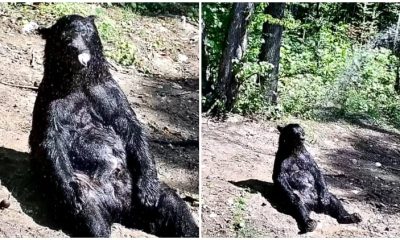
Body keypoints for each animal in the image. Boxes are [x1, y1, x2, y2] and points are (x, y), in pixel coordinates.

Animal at [28, 15, 198, 238]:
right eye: (64, 36)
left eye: (86, 32)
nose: (75, 47)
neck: (78, 81)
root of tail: (119, 207)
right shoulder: (51, 100)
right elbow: (50, 140)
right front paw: (71, 195)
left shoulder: (109, 94)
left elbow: (131, 127)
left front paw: (149, 190)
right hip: (89, 188)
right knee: (92, 217)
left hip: (132, 185)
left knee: (172, 204)